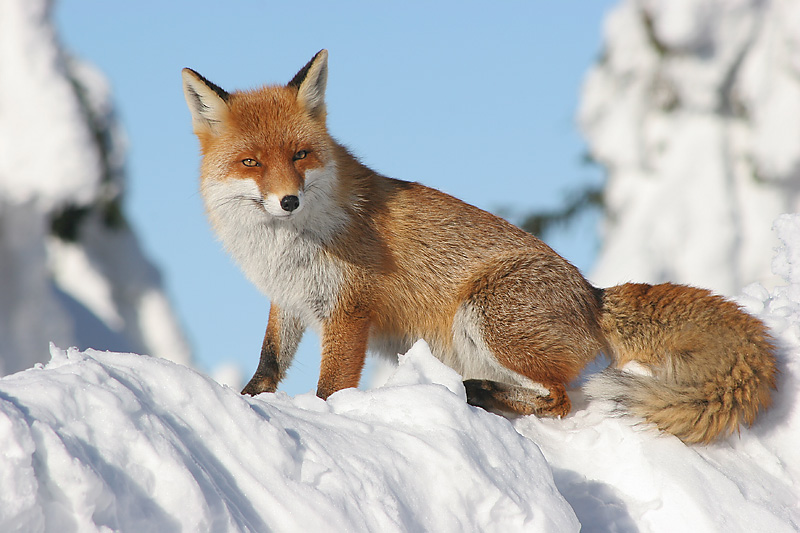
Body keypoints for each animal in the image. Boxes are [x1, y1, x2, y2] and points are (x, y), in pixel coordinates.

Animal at [181, 50, 776, 442]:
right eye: (251, 163)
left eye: (300, 155)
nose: (288, 201)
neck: (288, 247)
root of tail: (594, 294)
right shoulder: (290, 297)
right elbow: (269, 361)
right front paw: (249, 401)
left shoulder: (349, 310)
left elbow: (331, 389)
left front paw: (325, 416)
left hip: (486, 315)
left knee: (560, 400)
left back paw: (480, 395)